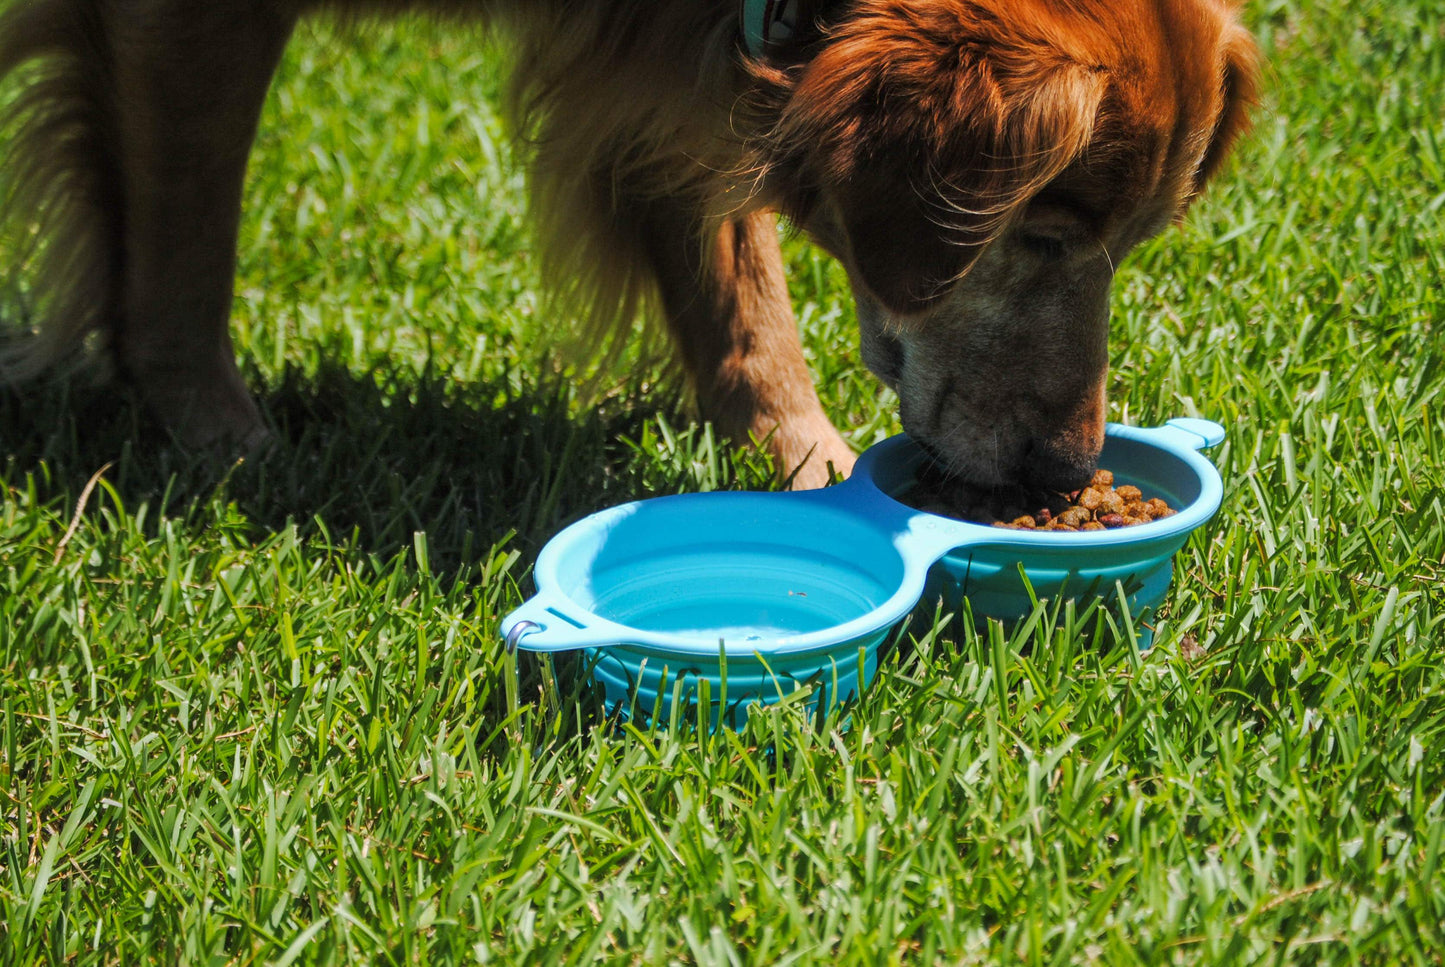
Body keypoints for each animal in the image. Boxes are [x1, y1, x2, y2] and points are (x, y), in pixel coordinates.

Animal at [0, 1, 1254, 491]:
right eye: (1036, 234)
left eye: (1133, 243)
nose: (1066, 471)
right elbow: (182, 251)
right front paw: (224, 449)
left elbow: (740, 296)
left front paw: (804, 459)